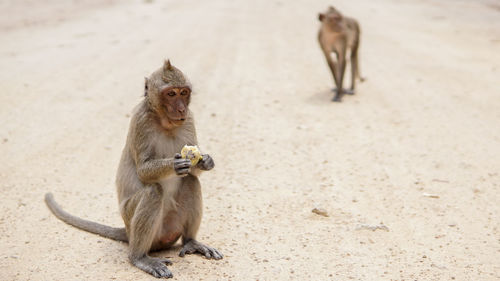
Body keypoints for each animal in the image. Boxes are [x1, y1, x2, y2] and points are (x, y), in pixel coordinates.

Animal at [46, 60, 222, 276]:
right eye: (171, 94)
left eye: (183, 92)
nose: (181, 109)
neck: (164, 122)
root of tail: (128, 233)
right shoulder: (141, 120)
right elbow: (143, 171)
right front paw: (175, 164)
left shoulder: (189, 119)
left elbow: (193, 170)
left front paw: (206, 161)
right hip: (132, 220)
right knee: (153, 191)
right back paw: (140, 258)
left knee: (190, 181)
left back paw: (191, 242)